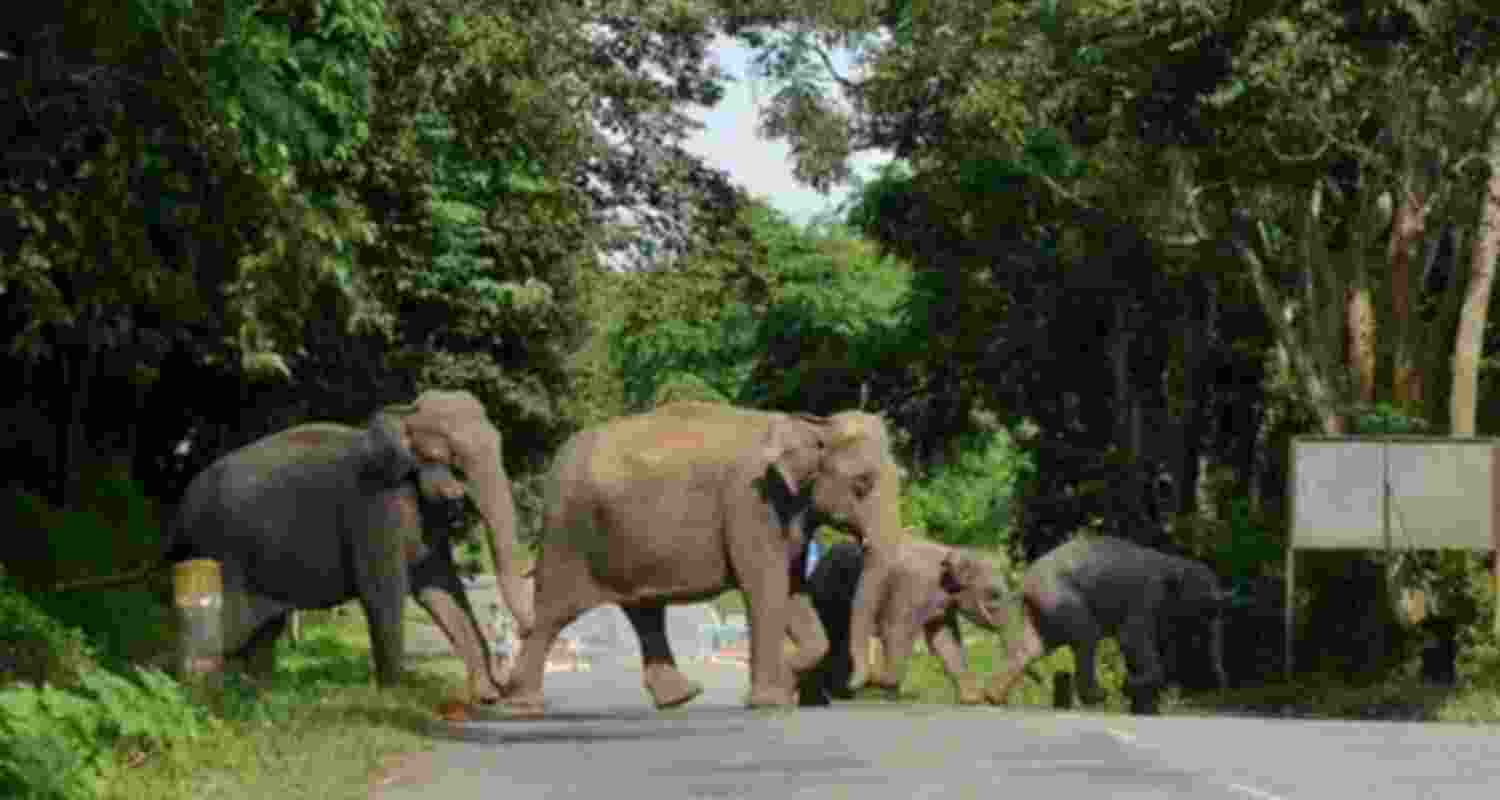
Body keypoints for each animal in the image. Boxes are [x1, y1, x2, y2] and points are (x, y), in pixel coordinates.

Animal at [499, 401, 907, 714]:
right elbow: (766, 590)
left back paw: (680, 698)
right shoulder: (752, 504)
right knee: (554, 612)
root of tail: (557, 461)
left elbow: (793, 592)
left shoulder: (789, 513)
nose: (855, 684)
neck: (812, 424)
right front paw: (770, 700)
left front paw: (786, 676)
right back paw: (524, 705)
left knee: (643, 611)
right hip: (570, 533)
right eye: (862, 484)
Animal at [798, 537, 1009, 707]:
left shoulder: (943, 604)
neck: (951, 552)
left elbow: (944, 639)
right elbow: (896, 632)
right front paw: (887, 689)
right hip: (825, 595)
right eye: (994, 594)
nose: (993, 698)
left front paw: (971, 700)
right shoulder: (908, 590)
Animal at [984, 534, 1228, 715]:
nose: (1221, 686)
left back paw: (993, 698)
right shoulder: (1148, 595)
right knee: (1086, 636)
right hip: (1059, 596)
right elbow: (1132, 638)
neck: (1175, 562)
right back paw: (1099, 696)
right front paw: (1128, 687)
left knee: (1033, 648)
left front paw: (1143, 706)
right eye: (1206, 605)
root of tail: (1024, 583)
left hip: (1044, 608)